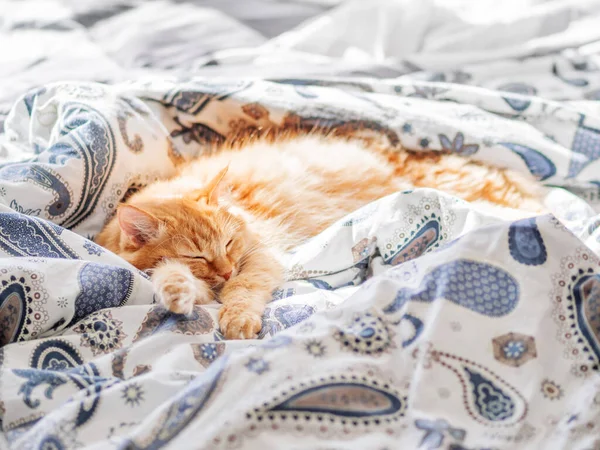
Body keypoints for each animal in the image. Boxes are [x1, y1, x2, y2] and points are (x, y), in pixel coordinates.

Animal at [96, 135, 548, 340]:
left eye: (227, 245)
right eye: (198, 257)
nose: (223, 270)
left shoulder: (259, 256)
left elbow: (244, 289)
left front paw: (238, 318)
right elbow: (170, 276)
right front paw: (177, 294)